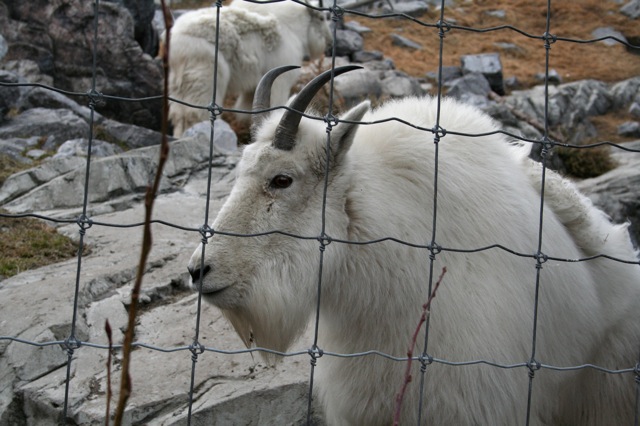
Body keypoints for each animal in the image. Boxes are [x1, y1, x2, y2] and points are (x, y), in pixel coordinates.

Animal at [165, 0, 331, 137]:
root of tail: (175, 45)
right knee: (194, 113)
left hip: (178, 83)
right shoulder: (281, 79)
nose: (327, 45)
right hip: (204, 76)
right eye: (322, 18)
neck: (294, 27)